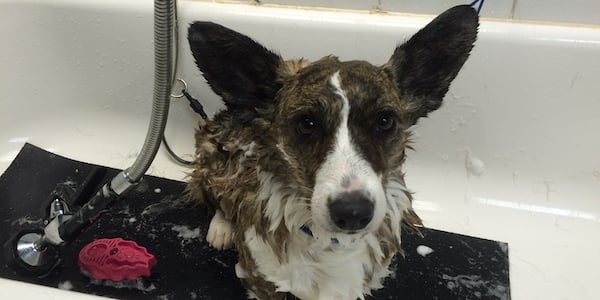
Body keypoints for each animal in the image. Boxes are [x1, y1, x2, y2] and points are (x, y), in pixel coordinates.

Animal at [188, 5, 478, 300]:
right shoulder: (262, 281)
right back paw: (222, 227)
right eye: (307, 123)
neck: (328, 240)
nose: (353, 213)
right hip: (211, 156)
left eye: (385, 121)